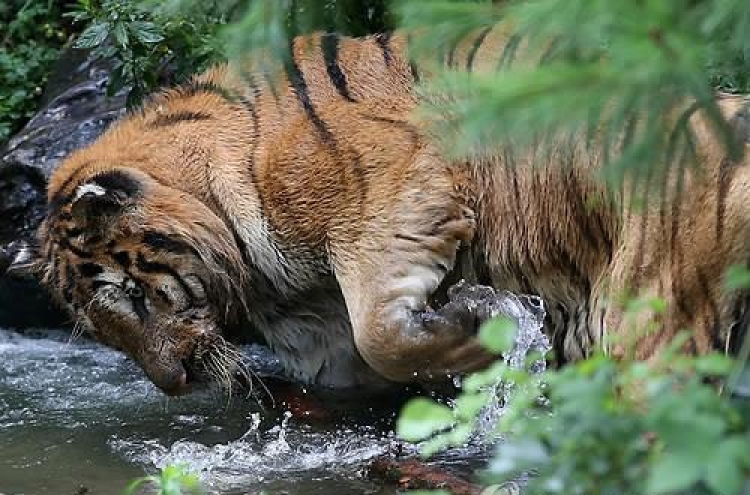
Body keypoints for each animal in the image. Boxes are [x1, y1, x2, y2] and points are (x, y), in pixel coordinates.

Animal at [10, 26, 750, 400]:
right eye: (103, 330)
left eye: (136, 294)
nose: (175, 383)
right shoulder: (318, 339)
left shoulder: (395, 197)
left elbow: (384, 335)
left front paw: (479, 336)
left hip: (647, 329)